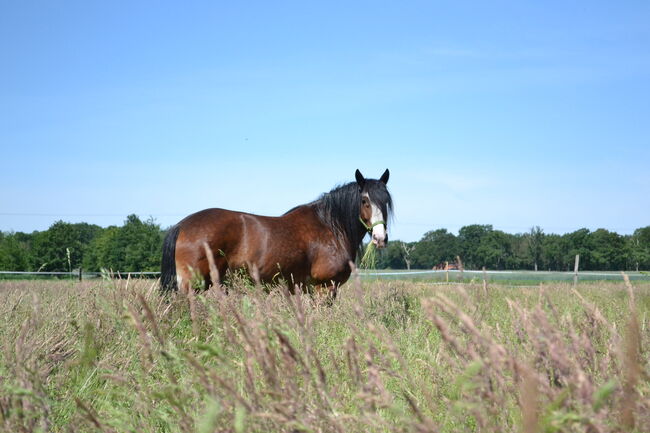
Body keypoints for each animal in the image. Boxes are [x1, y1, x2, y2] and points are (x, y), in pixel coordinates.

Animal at [161, 169, 394, 296]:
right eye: (364, 200)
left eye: (385, 200)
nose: (380, 238)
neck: (330, 227)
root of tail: (182, 225)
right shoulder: (325, 287)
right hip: (192, 285)